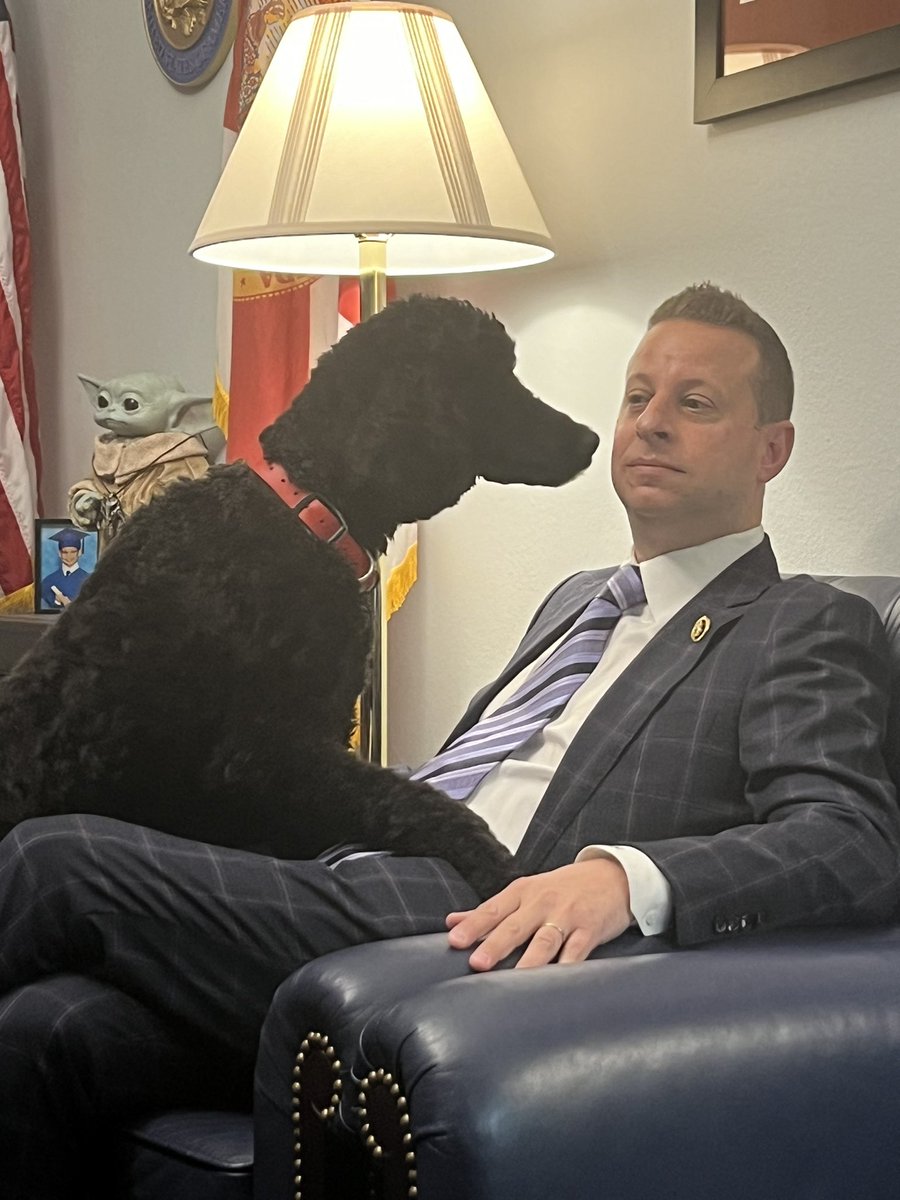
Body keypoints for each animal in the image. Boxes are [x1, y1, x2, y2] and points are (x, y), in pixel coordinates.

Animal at [0, 297, 600, 902]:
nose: (591, 439)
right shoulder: (271, 757)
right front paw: (503, 871)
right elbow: (419, 802)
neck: (311, 508)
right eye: (492, 377)